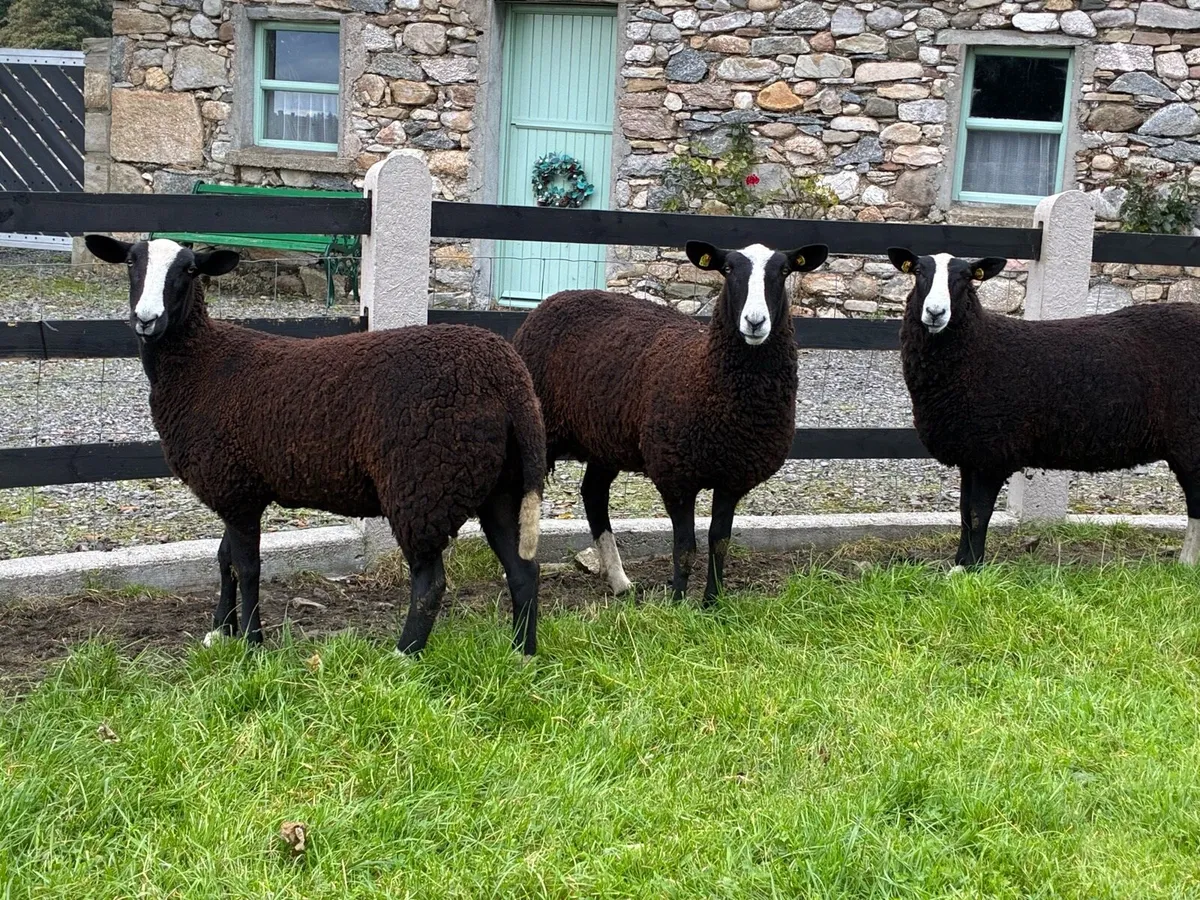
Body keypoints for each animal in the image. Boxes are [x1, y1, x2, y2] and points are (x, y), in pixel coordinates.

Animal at [85, 235, 546, 655]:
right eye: (131, 262)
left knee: (430, 584)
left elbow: (248, 568)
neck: (201, 364)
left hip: (424, 484)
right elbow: (224, 559)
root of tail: (508, 377)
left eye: (190, 270)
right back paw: (521, 654)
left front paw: (252, 644)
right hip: (499, 484)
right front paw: (220, 631)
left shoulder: (235, 488)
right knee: (524, 570)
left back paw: (404, 656)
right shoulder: (238, 487)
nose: (147, 319)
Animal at [513, 240, 828, 604]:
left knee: (593, 495)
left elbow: (719, 542)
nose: (754, 321)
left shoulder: (732, 477)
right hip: (538, 431)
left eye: (785, 270)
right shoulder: (676, 476)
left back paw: (620, 582)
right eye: (728, 269)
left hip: (605, 439)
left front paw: (712, 603)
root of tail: (555, 299)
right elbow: (685, 547)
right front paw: (678, 601)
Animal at [888, 246, 1200, 568]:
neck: (978, 349)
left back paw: (1187, 564)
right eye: (918, 272)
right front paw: (961, 563)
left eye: (966, 277)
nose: (935, 313)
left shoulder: (992, 452)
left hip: (1191, 439)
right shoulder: (971, 453)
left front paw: (972, 568)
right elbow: (964, 513)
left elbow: (978, 513)